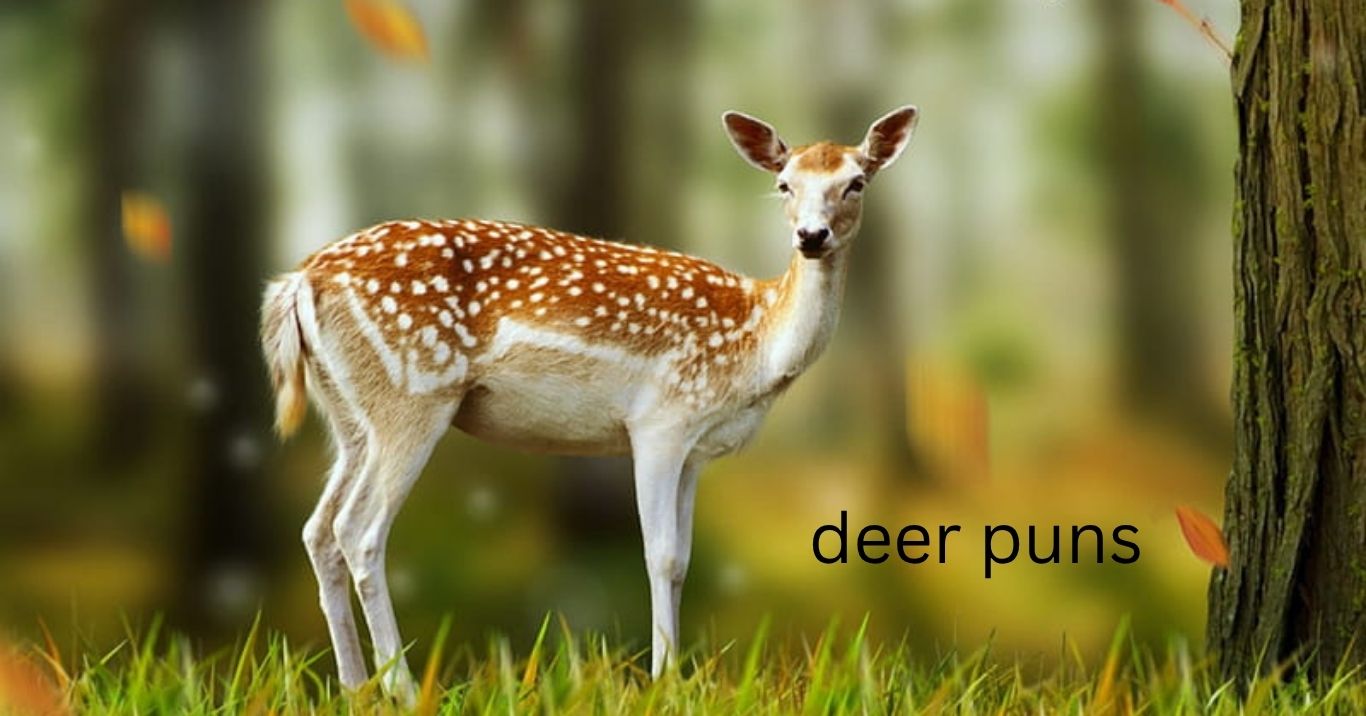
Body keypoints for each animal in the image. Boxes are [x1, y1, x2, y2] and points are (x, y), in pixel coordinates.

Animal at [259, 105, 918, 699]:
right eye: (784, 183)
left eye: (856, 181)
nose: (811, 237)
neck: (755, 346)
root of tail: (299, 282)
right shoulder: (660, 422)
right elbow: (660, 556)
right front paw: (662, 682)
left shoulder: (696, 449)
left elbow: (683, 560)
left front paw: (674, 676)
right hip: (412, 396)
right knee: (359, 531)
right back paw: (399, 688)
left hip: (350, 416)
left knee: (318, 530)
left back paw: (354, 688)